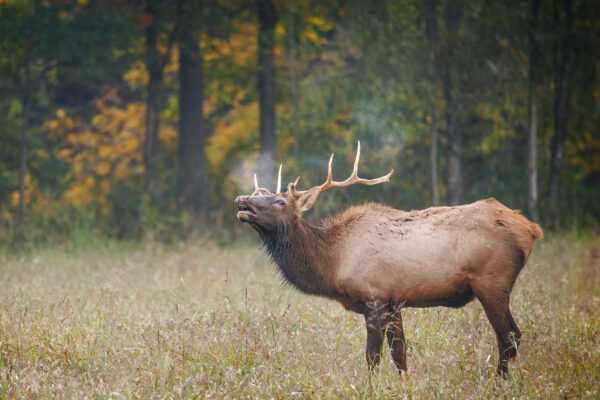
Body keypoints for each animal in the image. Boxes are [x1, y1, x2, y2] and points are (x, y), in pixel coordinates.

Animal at [236, 142, 544, 376]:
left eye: (280, 202)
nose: (242, 200)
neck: (333, 263)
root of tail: (531, 229)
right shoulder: (394, 302)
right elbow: (400, 353)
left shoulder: (374, 298)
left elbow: (372, 355)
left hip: (492, 282)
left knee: (510, 336)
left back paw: (498, 381)